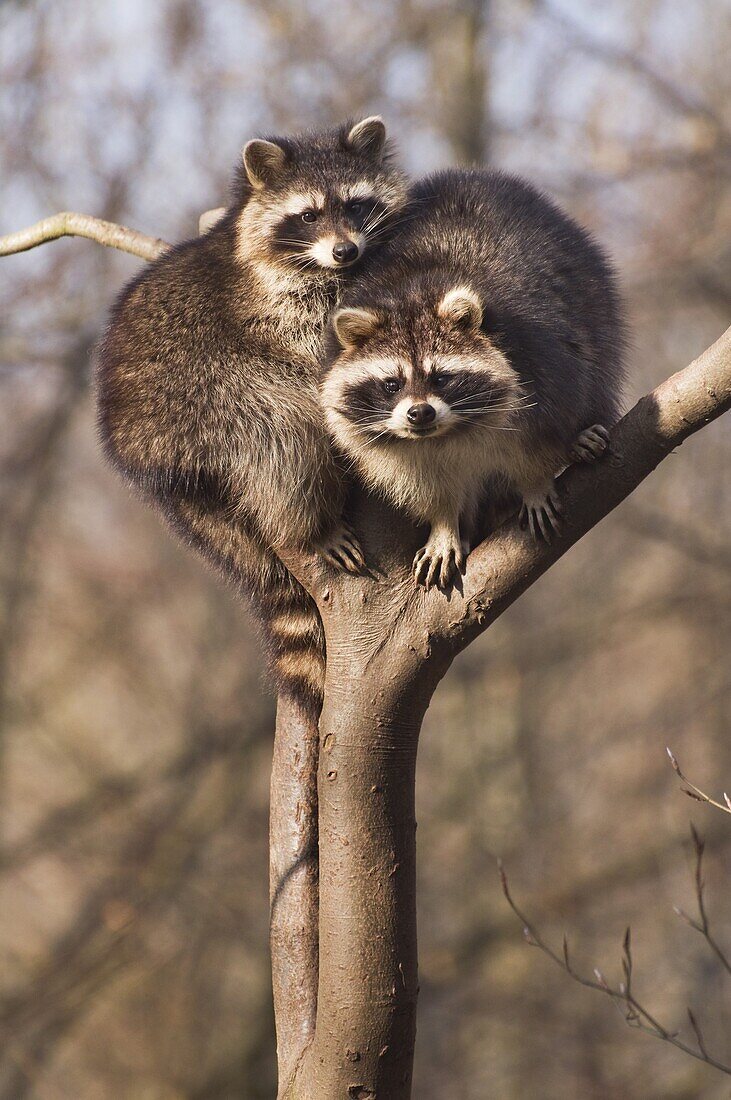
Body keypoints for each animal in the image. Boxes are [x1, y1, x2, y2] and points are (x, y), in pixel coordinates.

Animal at [95, 116, 411, 708]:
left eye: (357, 206)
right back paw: (308, 522)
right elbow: (311, 358)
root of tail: (147, 458)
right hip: (209, 402)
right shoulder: (267, 310)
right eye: (308, 215)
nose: (346, 251)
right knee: (284, 432)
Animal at [323, 166, 624, 589]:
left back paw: (581, 435)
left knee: (594, 359)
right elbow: (424, 484)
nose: (420, 414)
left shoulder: (538, 358)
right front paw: (444, 524)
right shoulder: (389, 448)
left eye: (440, 378)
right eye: (392, 384)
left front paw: (534, 481)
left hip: (593, 299)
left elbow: (539, 434)